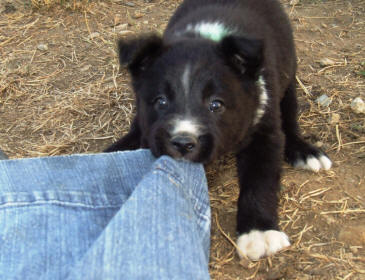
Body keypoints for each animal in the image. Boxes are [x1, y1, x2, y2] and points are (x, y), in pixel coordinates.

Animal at [104, 0, 332, 260]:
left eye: (216, 104)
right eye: (161, 101)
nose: (183, 143)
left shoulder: (265, 132)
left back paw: (304, 151)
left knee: (290, 117)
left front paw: (259, 232)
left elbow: (259, 180)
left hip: (288, 80)